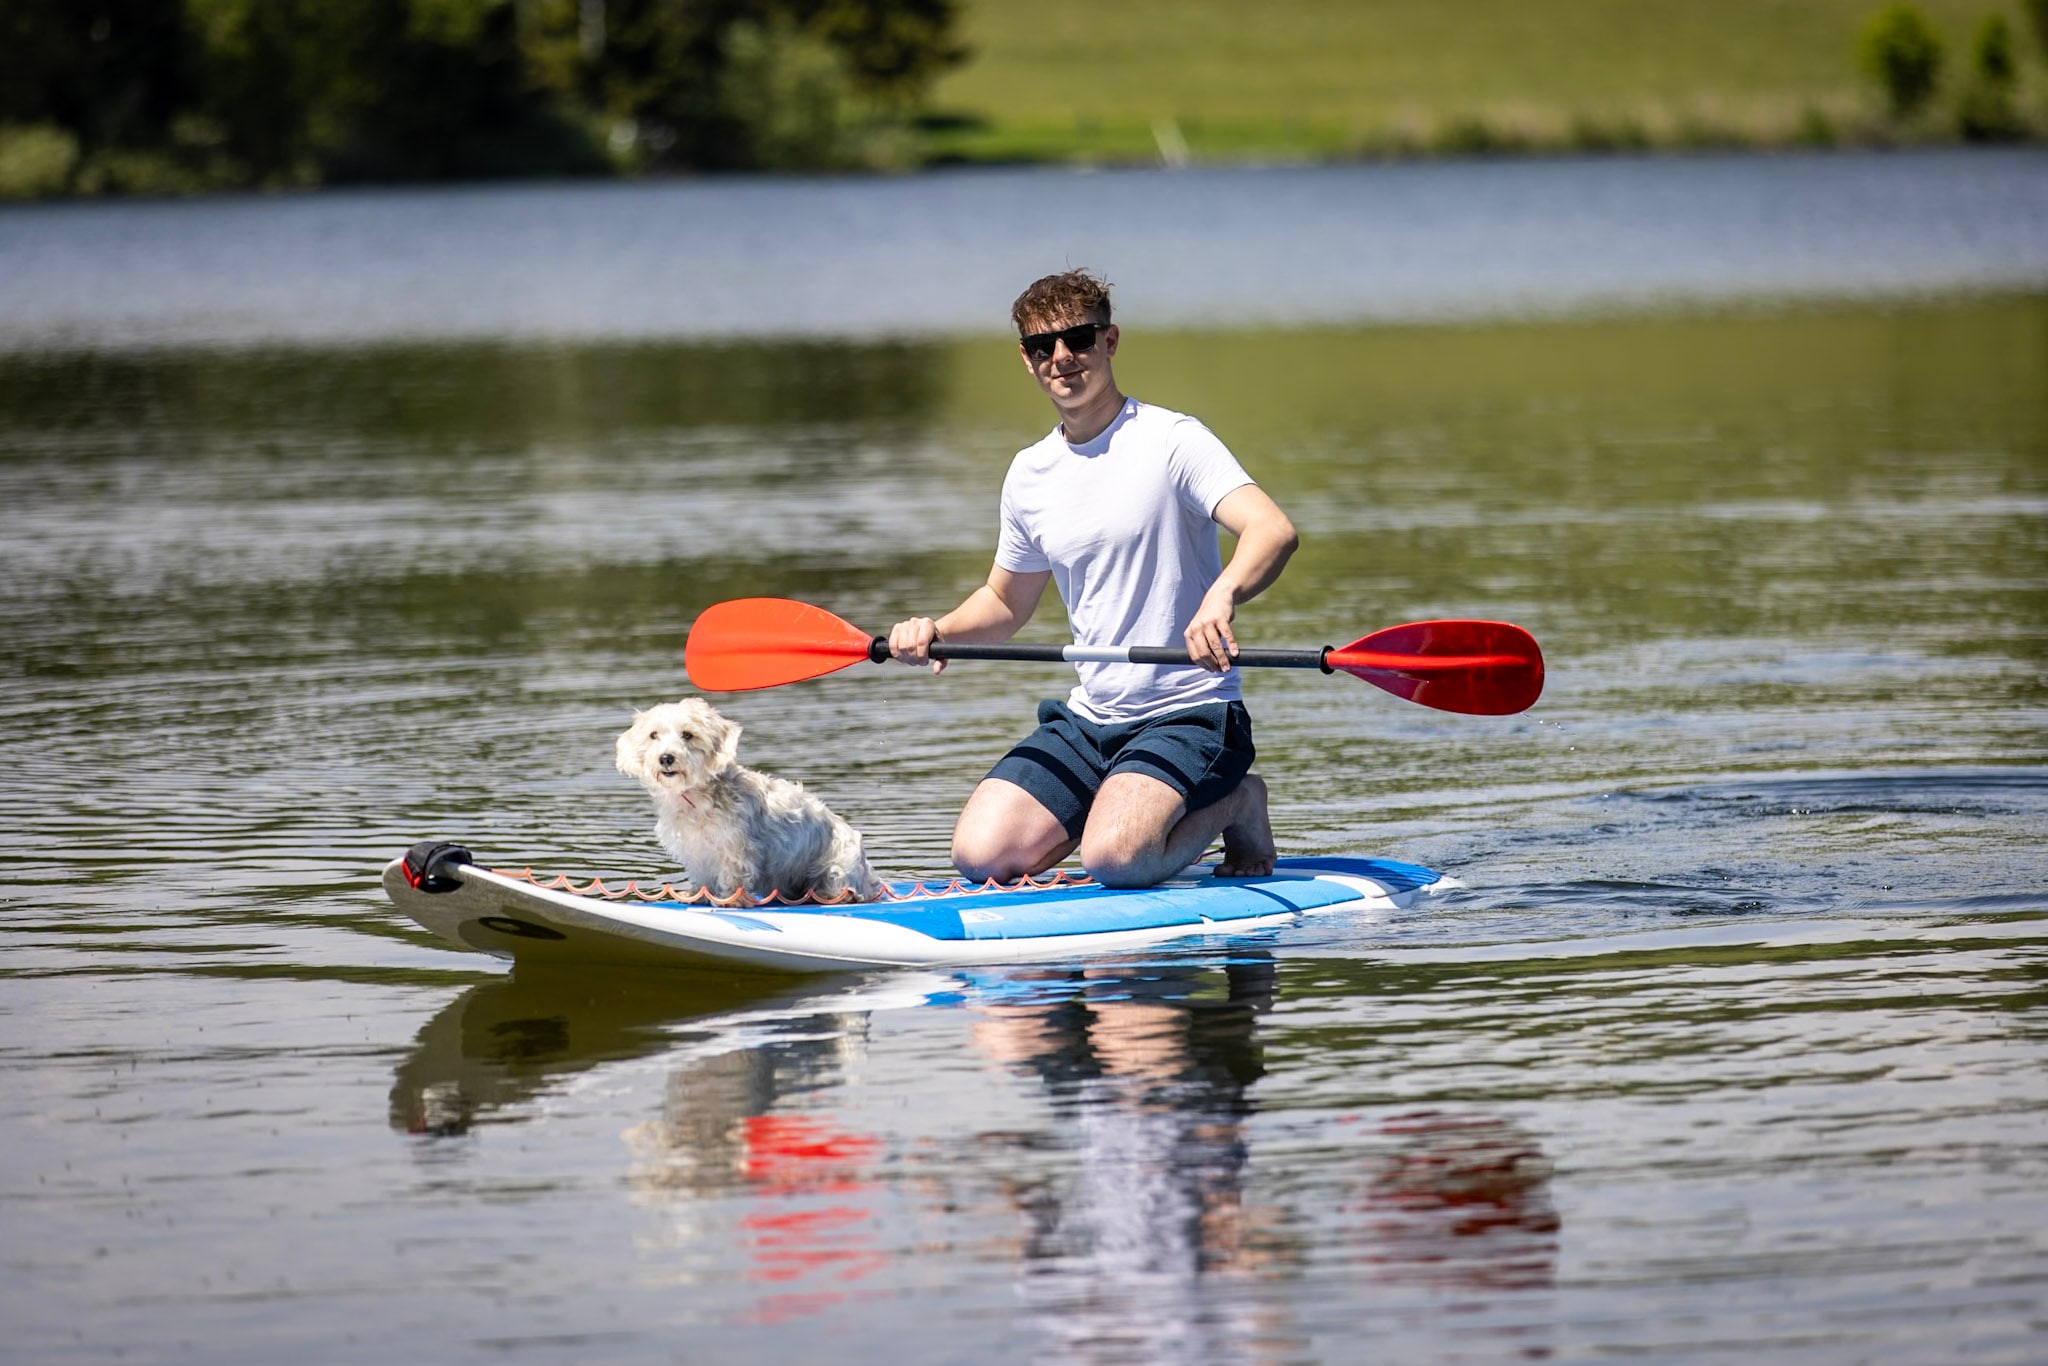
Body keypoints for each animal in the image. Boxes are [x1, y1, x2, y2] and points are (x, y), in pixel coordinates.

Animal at [618, 700, 884, 901]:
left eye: (688, 735)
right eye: (653, 735)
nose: (666, 758)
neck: (695, 799)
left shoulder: (736, 847)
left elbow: (734, 876)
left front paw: (729, 901)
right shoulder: (696, 851)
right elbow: (703, 879)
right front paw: (697, 895)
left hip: (838, 867)